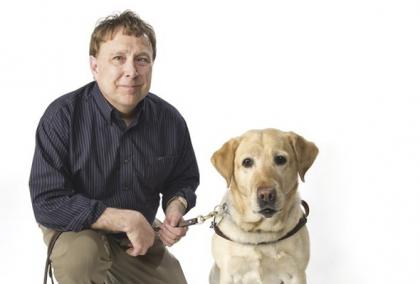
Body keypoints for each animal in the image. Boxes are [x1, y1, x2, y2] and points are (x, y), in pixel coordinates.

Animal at [208, 129, 320, 284]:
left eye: (280, 159)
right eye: (247, 162)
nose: (266, 194)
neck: (261, 231)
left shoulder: (296, 273)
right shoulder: (229, 274)